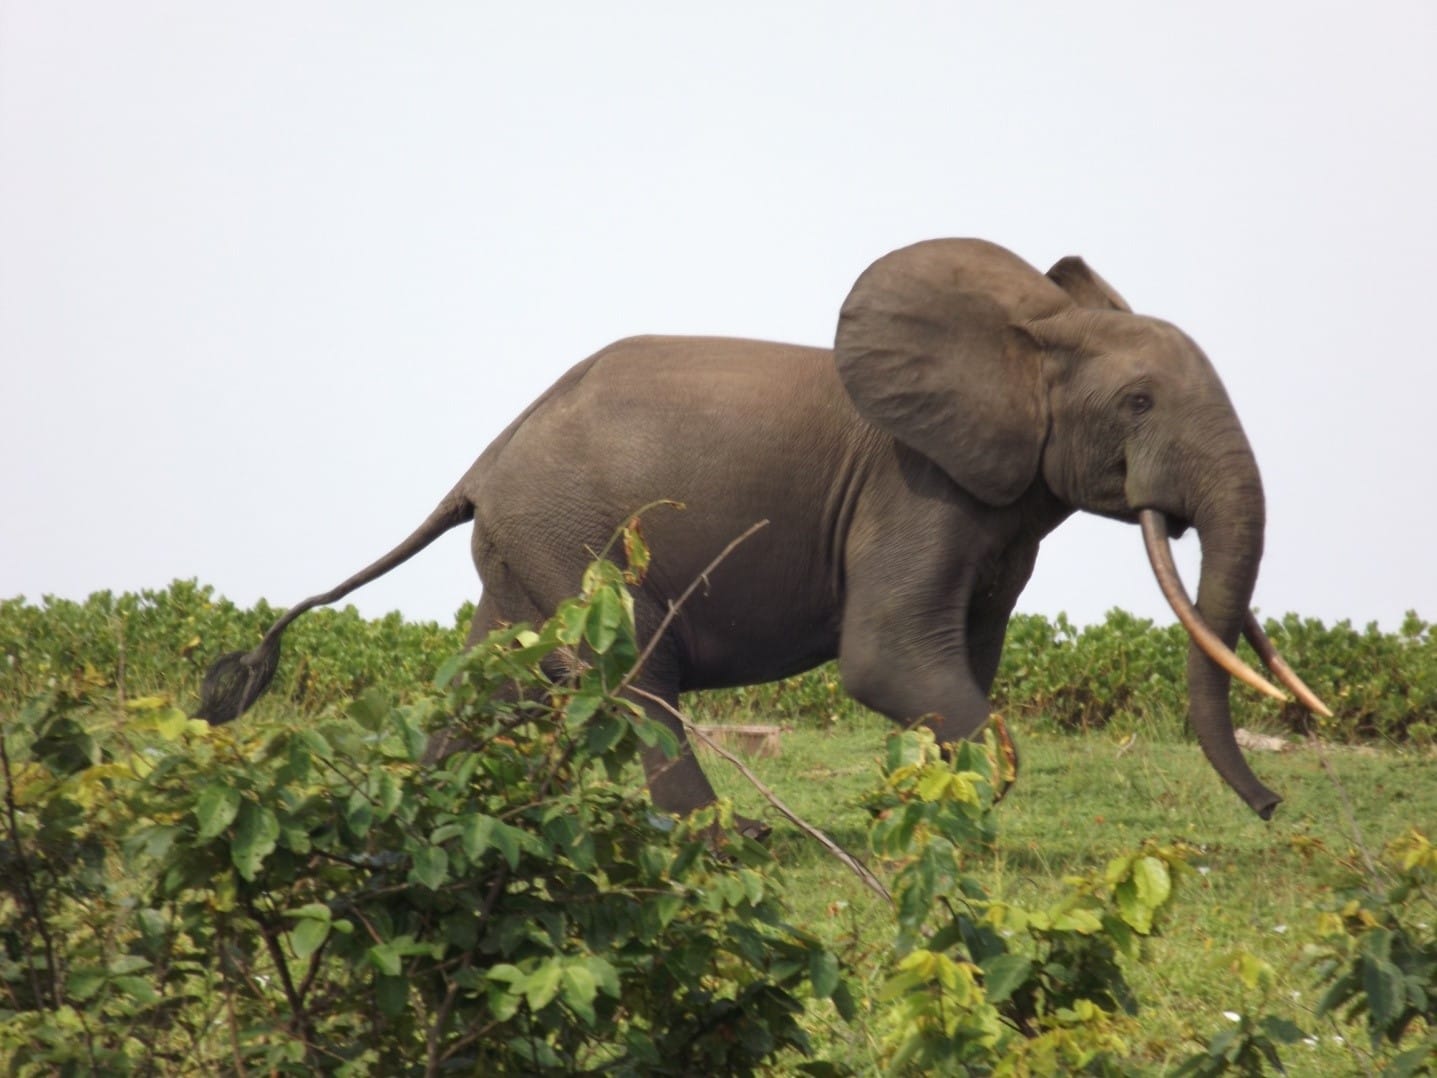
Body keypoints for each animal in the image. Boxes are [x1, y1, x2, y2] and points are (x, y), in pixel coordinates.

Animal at [196, 238, 1327, 827]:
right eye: (1138, 402)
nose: (1275, 807)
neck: (1033, 329)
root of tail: (477, 468)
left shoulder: (997, 512)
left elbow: (964, 654)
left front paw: (934, 811)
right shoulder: (915, 487)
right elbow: (886, 659)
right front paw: (965, 802)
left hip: (528, 550)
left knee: (500, 674)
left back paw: (418, 822)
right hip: (576, 536)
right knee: (632, 670)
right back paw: (720, 838)